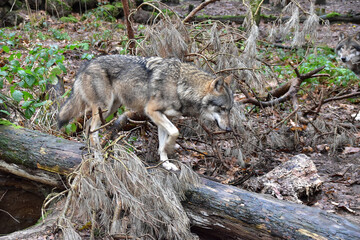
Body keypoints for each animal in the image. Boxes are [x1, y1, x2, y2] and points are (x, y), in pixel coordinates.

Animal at [58, 54, 233, 171]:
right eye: (222, 108)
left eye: (230, 110)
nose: (229, 129)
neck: (180, 85)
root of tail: (86, 64)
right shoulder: (152, 111)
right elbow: (175, 132)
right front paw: (171, 147)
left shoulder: (163, 116)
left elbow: (164, 141)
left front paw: (166, 163)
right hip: (105, 107)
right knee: (92, 129)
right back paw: (99, 157)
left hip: (110, 108)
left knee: (87, 125)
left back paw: (90, 152)